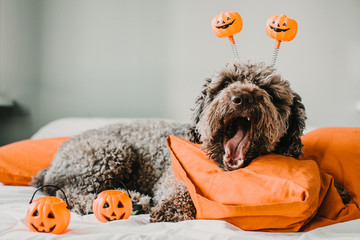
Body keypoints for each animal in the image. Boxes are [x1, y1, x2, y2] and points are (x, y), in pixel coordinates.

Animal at [33, 61, 310, 222]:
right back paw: (129, 201)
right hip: (109, 153)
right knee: (71, 194)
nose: (241, 97)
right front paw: (171, 209)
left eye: (271, 92)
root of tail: (50, 166)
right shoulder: (172, 174)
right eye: (225, 84)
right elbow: (180, 189)